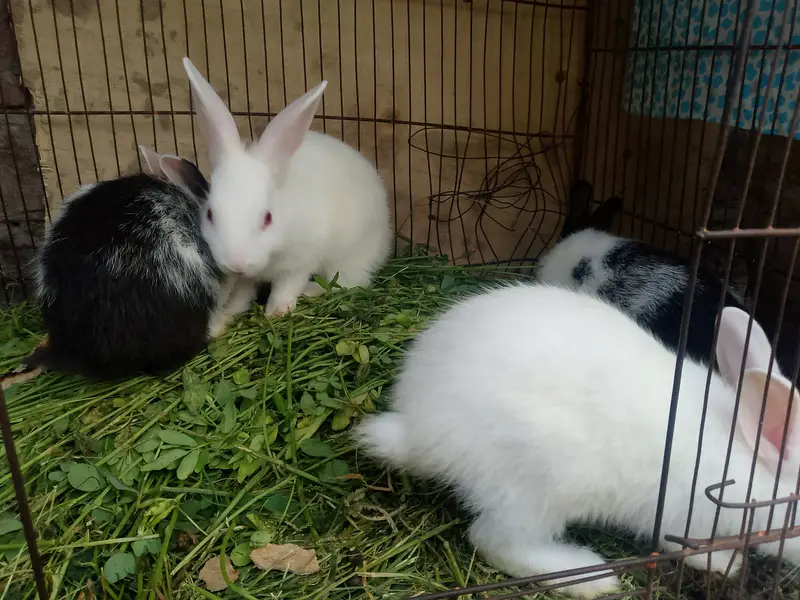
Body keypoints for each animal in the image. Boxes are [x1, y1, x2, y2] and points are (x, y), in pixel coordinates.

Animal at [182, 57, 392, 319]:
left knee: (348, 282)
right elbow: (242, 292)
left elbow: (288, 285)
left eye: (268, 218)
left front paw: (277, 311)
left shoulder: (300, 260)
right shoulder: (246, 278)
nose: (236, 263)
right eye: (210, 215)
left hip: (351, 254)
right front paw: (231, 310)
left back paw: (313, 290)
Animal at [355, 283, 800, 598]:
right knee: (495, 541)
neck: (743, 454)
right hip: (537, 484)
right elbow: (683, 544)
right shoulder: (680, 513)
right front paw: (727, 562)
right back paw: (591, 577)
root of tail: (418, 428)